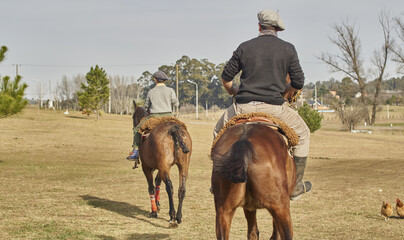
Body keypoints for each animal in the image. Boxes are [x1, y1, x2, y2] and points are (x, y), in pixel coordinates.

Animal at [131, 100, 191, 228]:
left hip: (163, 166)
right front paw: (157, 205)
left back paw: (172, 217)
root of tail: (174, 129)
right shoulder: (160, 167)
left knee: (169, 186)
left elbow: (151, 187)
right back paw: (179, 217)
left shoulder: (146, 167)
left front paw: (154, 211)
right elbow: (157, 182)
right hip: (183, 166)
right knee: (182, 188)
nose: (133, 127)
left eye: (133, 116)